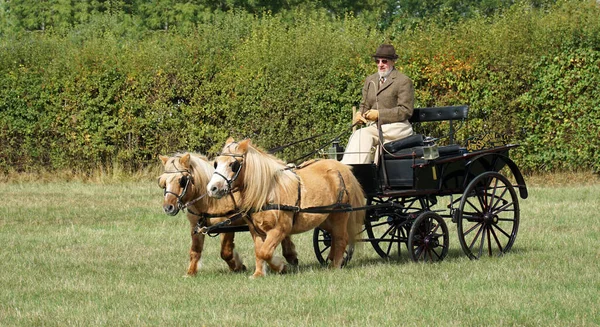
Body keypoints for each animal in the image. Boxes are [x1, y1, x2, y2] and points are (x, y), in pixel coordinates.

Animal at [157, 154, 298, 276]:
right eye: (163, 182)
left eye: (181, 180)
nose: (168, 208)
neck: (209, 200)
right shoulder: (196, 227)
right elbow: (195, 250)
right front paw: (190, 272)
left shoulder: (228, 225)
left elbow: (226, 252)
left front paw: (238, 266)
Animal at [206, 138, 366, 280]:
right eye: (216, 163)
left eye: (233, 164)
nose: (212, 189)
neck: (268, 191)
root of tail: (342, 167)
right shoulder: (255, 230)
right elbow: (259, 251)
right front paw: (258, 274)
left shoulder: (280, 229)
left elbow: (265, 252)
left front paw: (281, 267)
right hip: (324, 218)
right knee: (332, 236)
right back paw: (331, 259)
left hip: (340, 214)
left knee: (341, 238)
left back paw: (335, 265)